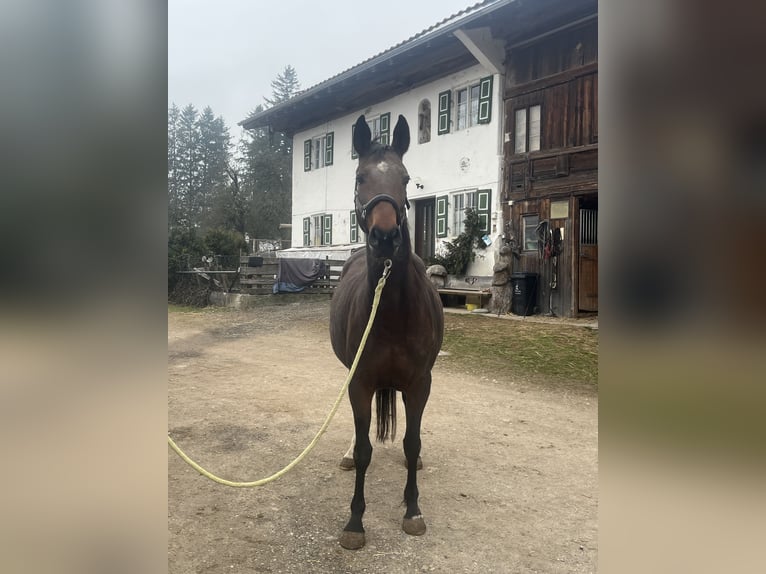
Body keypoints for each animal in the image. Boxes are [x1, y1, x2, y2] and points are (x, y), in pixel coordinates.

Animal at [328, 115, 444, 552]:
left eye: (406, 178)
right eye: (360, 177)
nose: (385, 237)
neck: (392, 311)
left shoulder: (420, 383)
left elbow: (412, 443)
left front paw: (412, 511)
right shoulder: (359, 381)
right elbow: (364, 449)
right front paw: (355, 521)